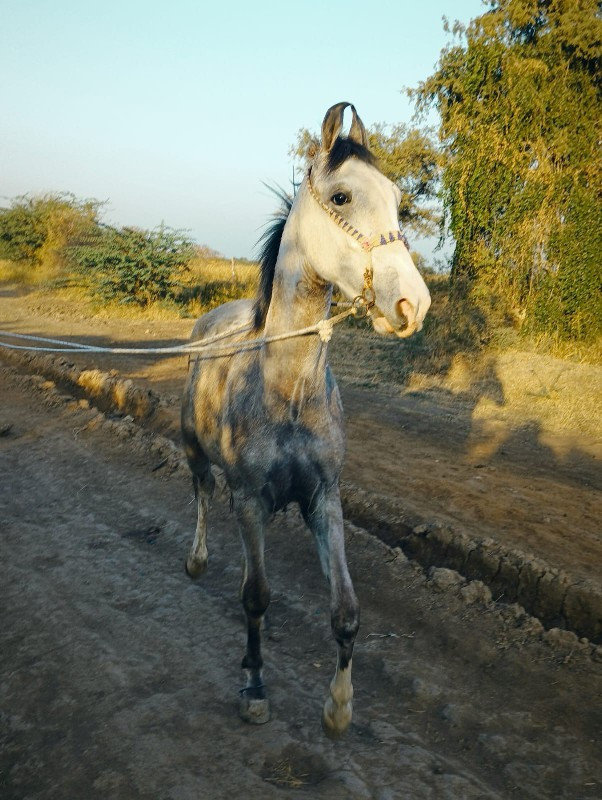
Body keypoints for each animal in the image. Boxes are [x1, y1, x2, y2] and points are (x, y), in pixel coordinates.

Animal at [180, 103, 428, 740]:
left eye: (398, 198)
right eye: (341, 197)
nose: (412, 304)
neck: (288, 391)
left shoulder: (324, 499)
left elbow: (345, 609)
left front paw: (339, 706)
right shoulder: (249, 500)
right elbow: (256, 596)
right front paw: (254, 687)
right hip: (194, 450)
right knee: (200, 493)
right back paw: (197, 559)